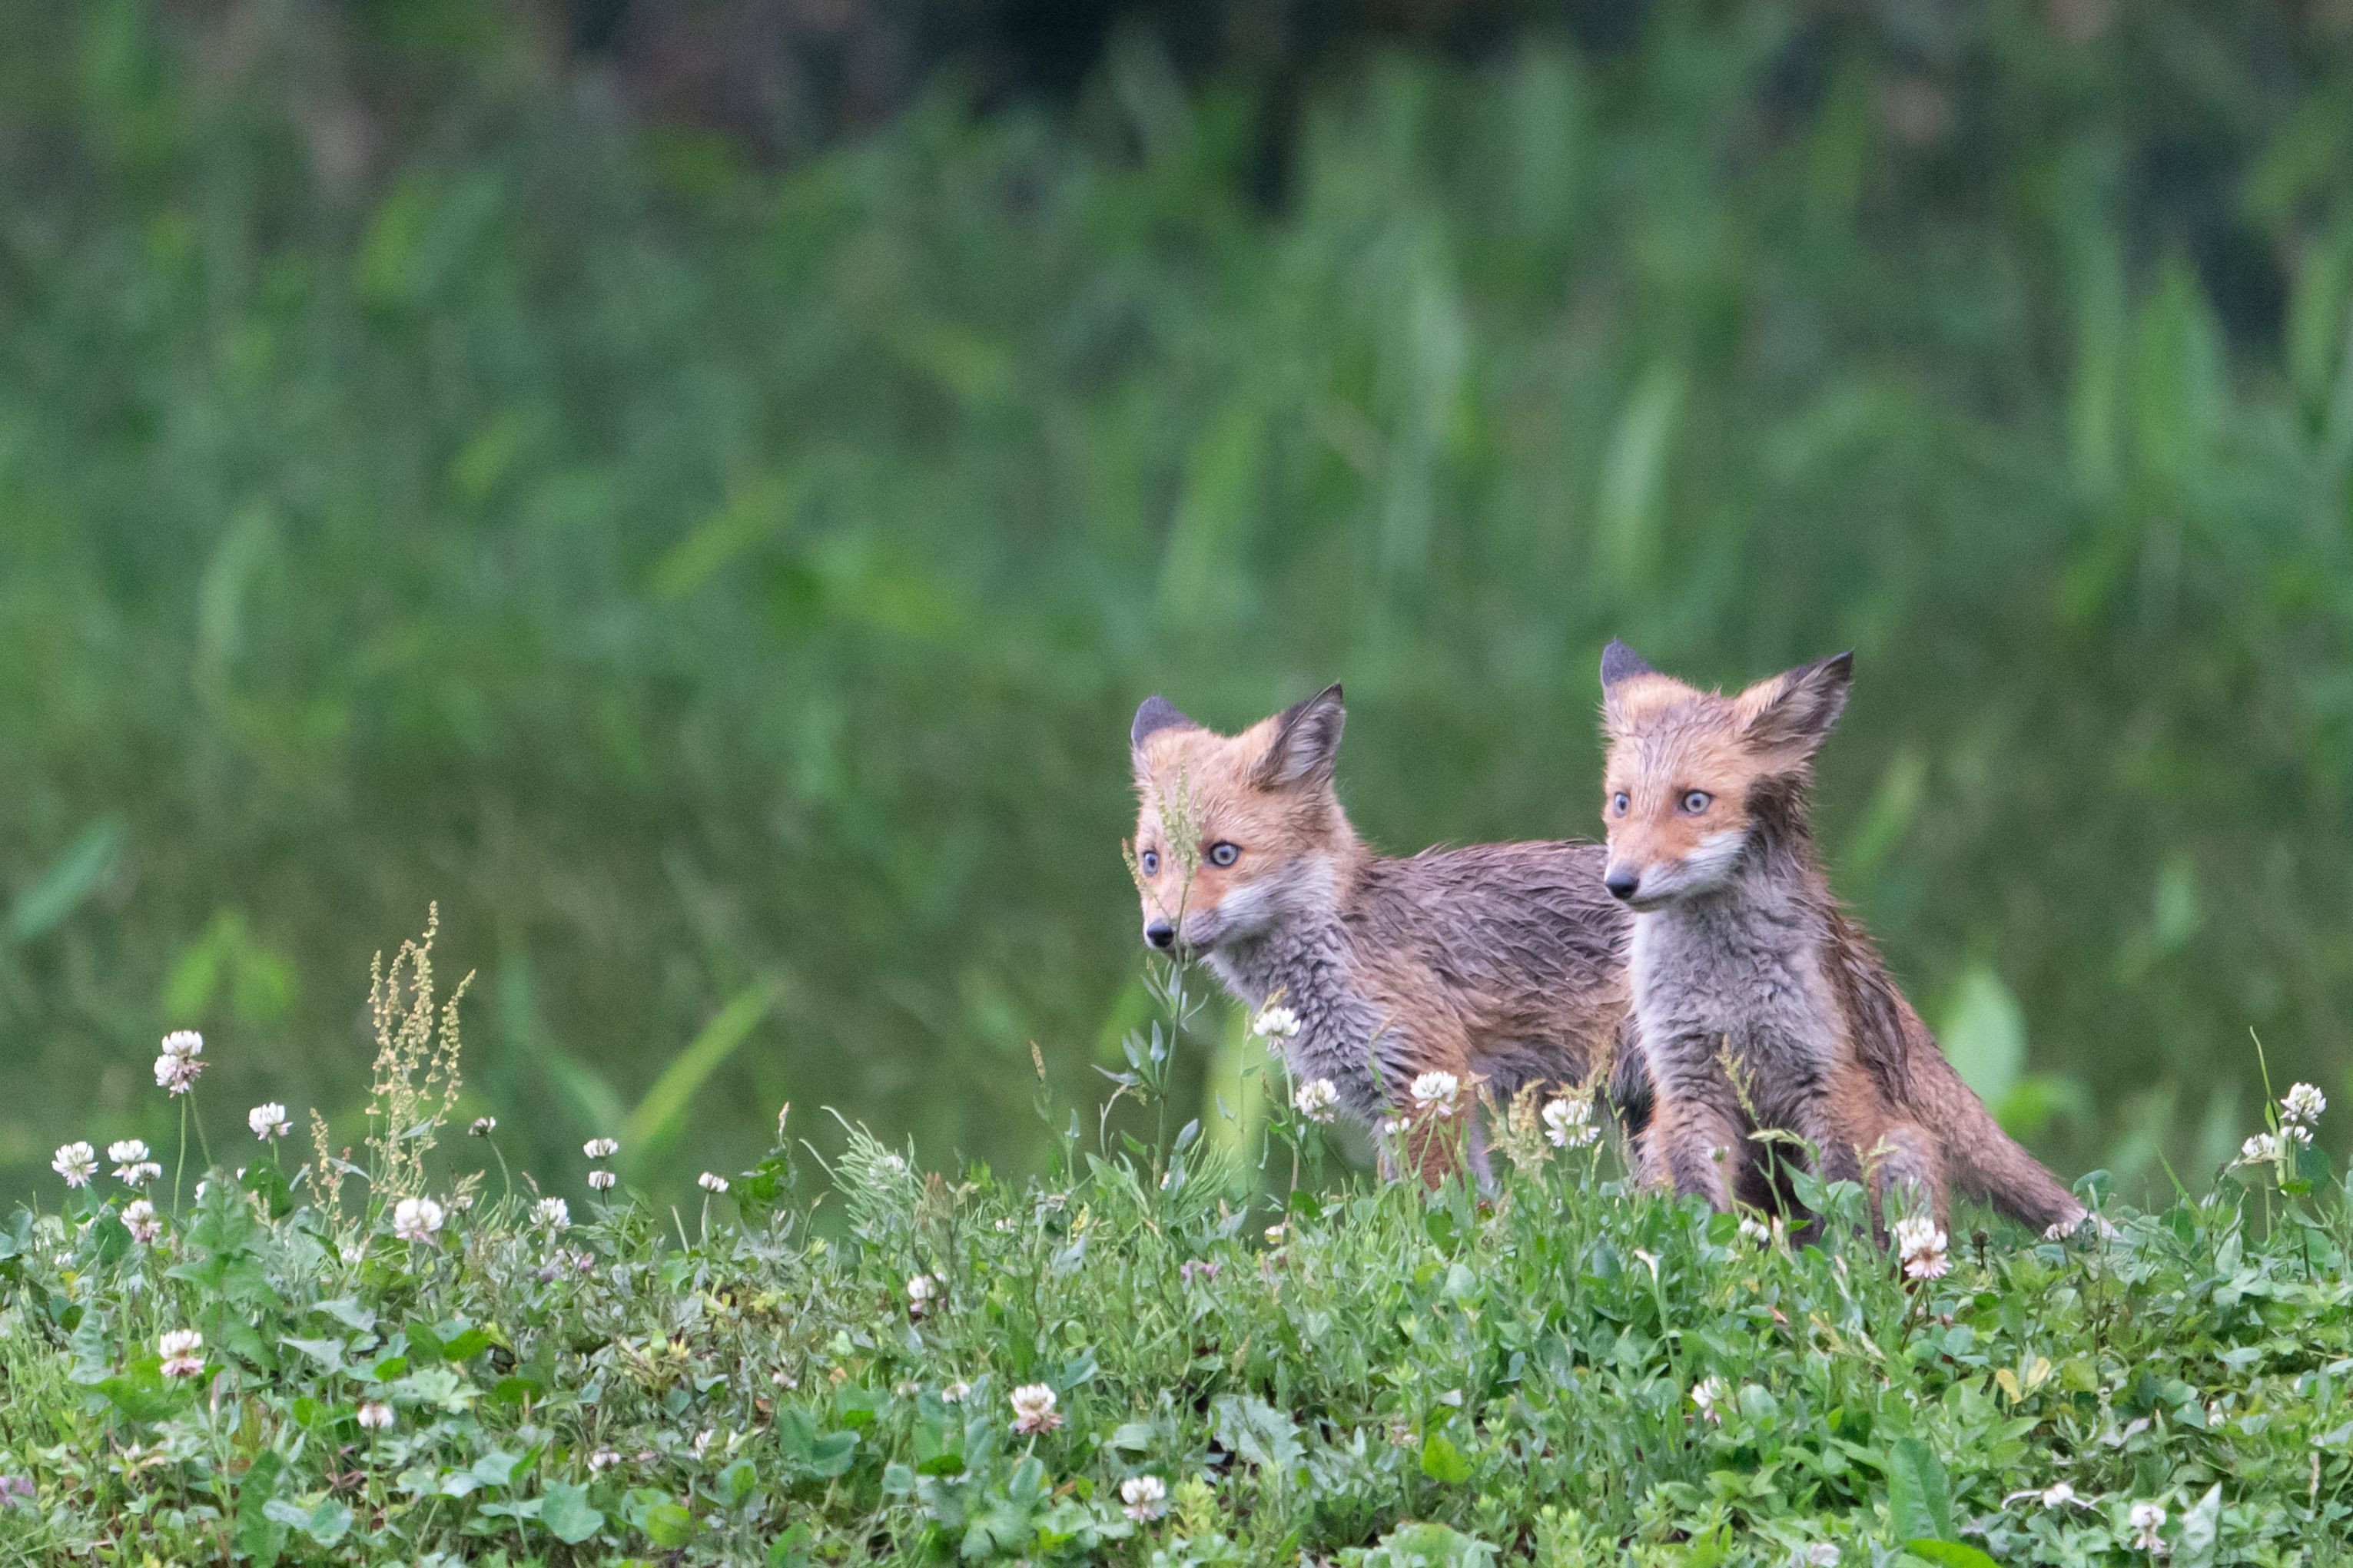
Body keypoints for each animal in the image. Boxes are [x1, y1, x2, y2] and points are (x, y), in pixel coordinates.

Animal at [1128, 684, 1638, 1182]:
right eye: (1151, 861)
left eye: (1223, 854)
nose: (1160, 932)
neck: (1343, 946)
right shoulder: (1384, 1096)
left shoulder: (1427, 1080)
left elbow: (1446, 1202)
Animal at [1594, 641, 2086, 1237]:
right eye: (1621, 803)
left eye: (1694, 802)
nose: (1620, 882)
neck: (1724, 985)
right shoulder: (1686, 1082)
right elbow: (1703, 1210)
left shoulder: (1826, 1077)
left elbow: (1847, 1203)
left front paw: (1852, 1260)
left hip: (1901, 1146)